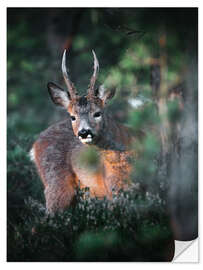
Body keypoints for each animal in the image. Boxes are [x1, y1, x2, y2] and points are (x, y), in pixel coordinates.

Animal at [30, 49, 134, 212]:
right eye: (73, 116)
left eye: (97, 113)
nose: (84, 132)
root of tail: (35, 144)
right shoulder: (114, 191)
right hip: (57, 183)